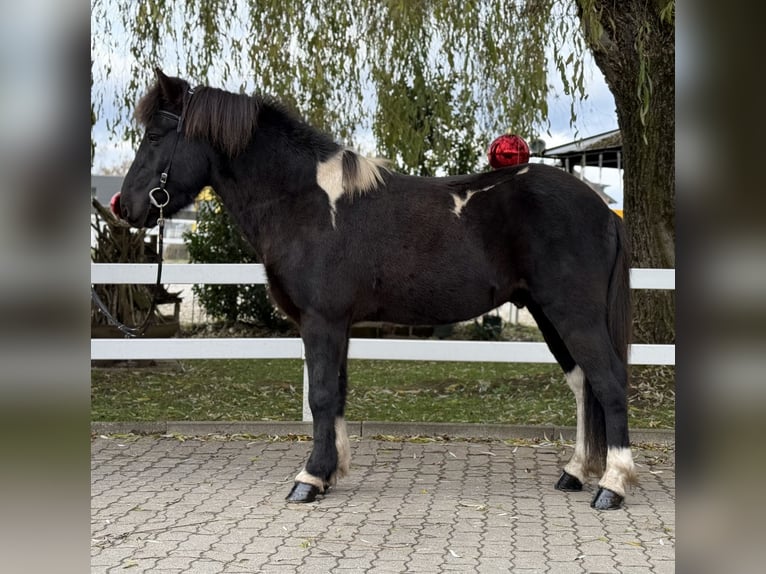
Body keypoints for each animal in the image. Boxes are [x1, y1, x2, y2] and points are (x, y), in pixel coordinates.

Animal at [114, 68, 640, 512]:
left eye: (156, 135)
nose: (126, 206)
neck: (305, 201)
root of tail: (602, 211)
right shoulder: (338, 324)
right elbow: (338, 393)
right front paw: (332, 472)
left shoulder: (321, 321)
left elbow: (322, 395)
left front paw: (310, 479)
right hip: (549, 314)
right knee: (583, 383)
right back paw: (575, 472)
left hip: (573, 313)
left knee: (610, 381)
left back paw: (611, 486)